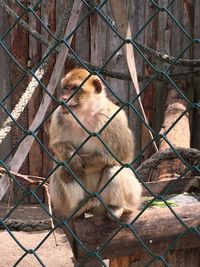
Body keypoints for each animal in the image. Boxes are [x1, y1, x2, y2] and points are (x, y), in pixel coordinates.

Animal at [48, 68, 142, 222]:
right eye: (66, 88)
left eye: (74, 88)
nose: (64, 98)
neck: (84, 114)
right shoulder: (59, 114)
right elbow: (57, 145)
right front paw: (71, 161)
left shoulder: (113, 118)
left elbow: (122, 156)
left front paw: (72, 165)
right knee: (59, 165)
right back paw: (79, 208)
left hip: (129, 198)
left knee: (114, 168)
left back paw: (116, 207)